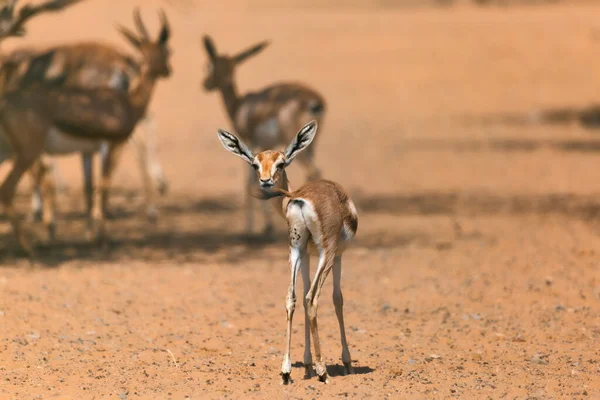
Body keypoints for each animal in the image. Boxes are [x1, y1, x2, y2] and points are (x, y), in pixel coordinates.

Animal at [203, 35, 326, 238]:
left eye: (209, 65)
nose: (205, 84)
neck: (241, 107)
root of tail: (314, 101)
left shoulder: (250, 142)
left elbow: (249, 182)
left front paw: (252, 228)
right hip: (310, 144)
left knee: (313, 171)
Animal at [216, 121, 356, 384]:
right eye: (255, 164)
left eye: (280, 163)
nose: (265, 181)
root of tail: (299, 198)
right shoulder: (338, 255)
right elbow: (337, 298)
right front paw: (346, 363)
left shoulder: (306, 254)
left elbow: (298, 296)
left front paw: (307, 365)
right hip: (327, 252)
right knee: (313, 298)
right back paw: (323, 372)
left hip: (295, 250)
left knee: (291, 298)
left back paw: (286, 370)